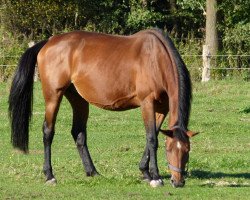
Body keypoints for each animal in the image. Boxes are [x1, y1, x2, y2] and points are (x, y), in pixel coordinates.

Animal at [8, 28, 198, 188]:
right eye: (169, 149)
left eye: (187, 150)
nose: (178, 181)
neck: (156, 59)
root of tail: (49, 42)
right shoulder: (147, 103)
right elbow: (152, 138)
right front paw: (155, 177)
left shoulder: (162, 109)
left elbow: (154, 136)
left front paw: (145, 172)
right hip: (53, 96)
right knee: (48, 132)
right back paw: (50, 175)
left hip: (78, 99)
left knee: (78, 133)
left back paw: (92, 172)